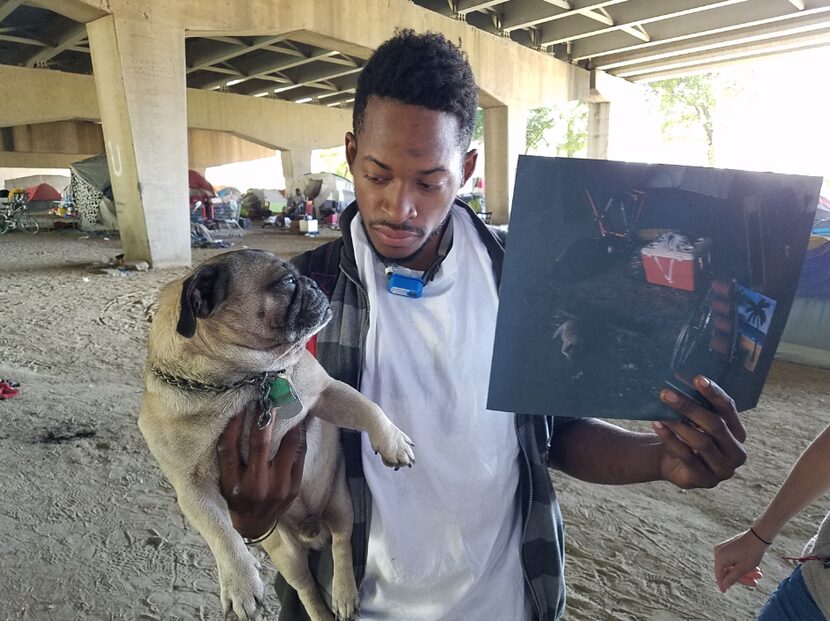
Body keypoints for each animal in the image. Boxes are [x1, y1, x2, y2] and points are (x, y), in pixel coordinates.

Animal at [140, 249, 420, 616]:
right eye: (286, 282)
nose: (312, 283)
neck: (245, 379)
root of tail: (312, 531)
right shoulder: (192, 487)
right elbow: (221, 533)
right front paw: (241, 585)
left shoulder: (325, 393)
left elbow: (368, 407)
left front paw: (393, 442)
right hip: (285, 552)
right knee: (306, 589)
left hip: (342, 505)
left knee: (342, 545)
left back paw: (344, 594)